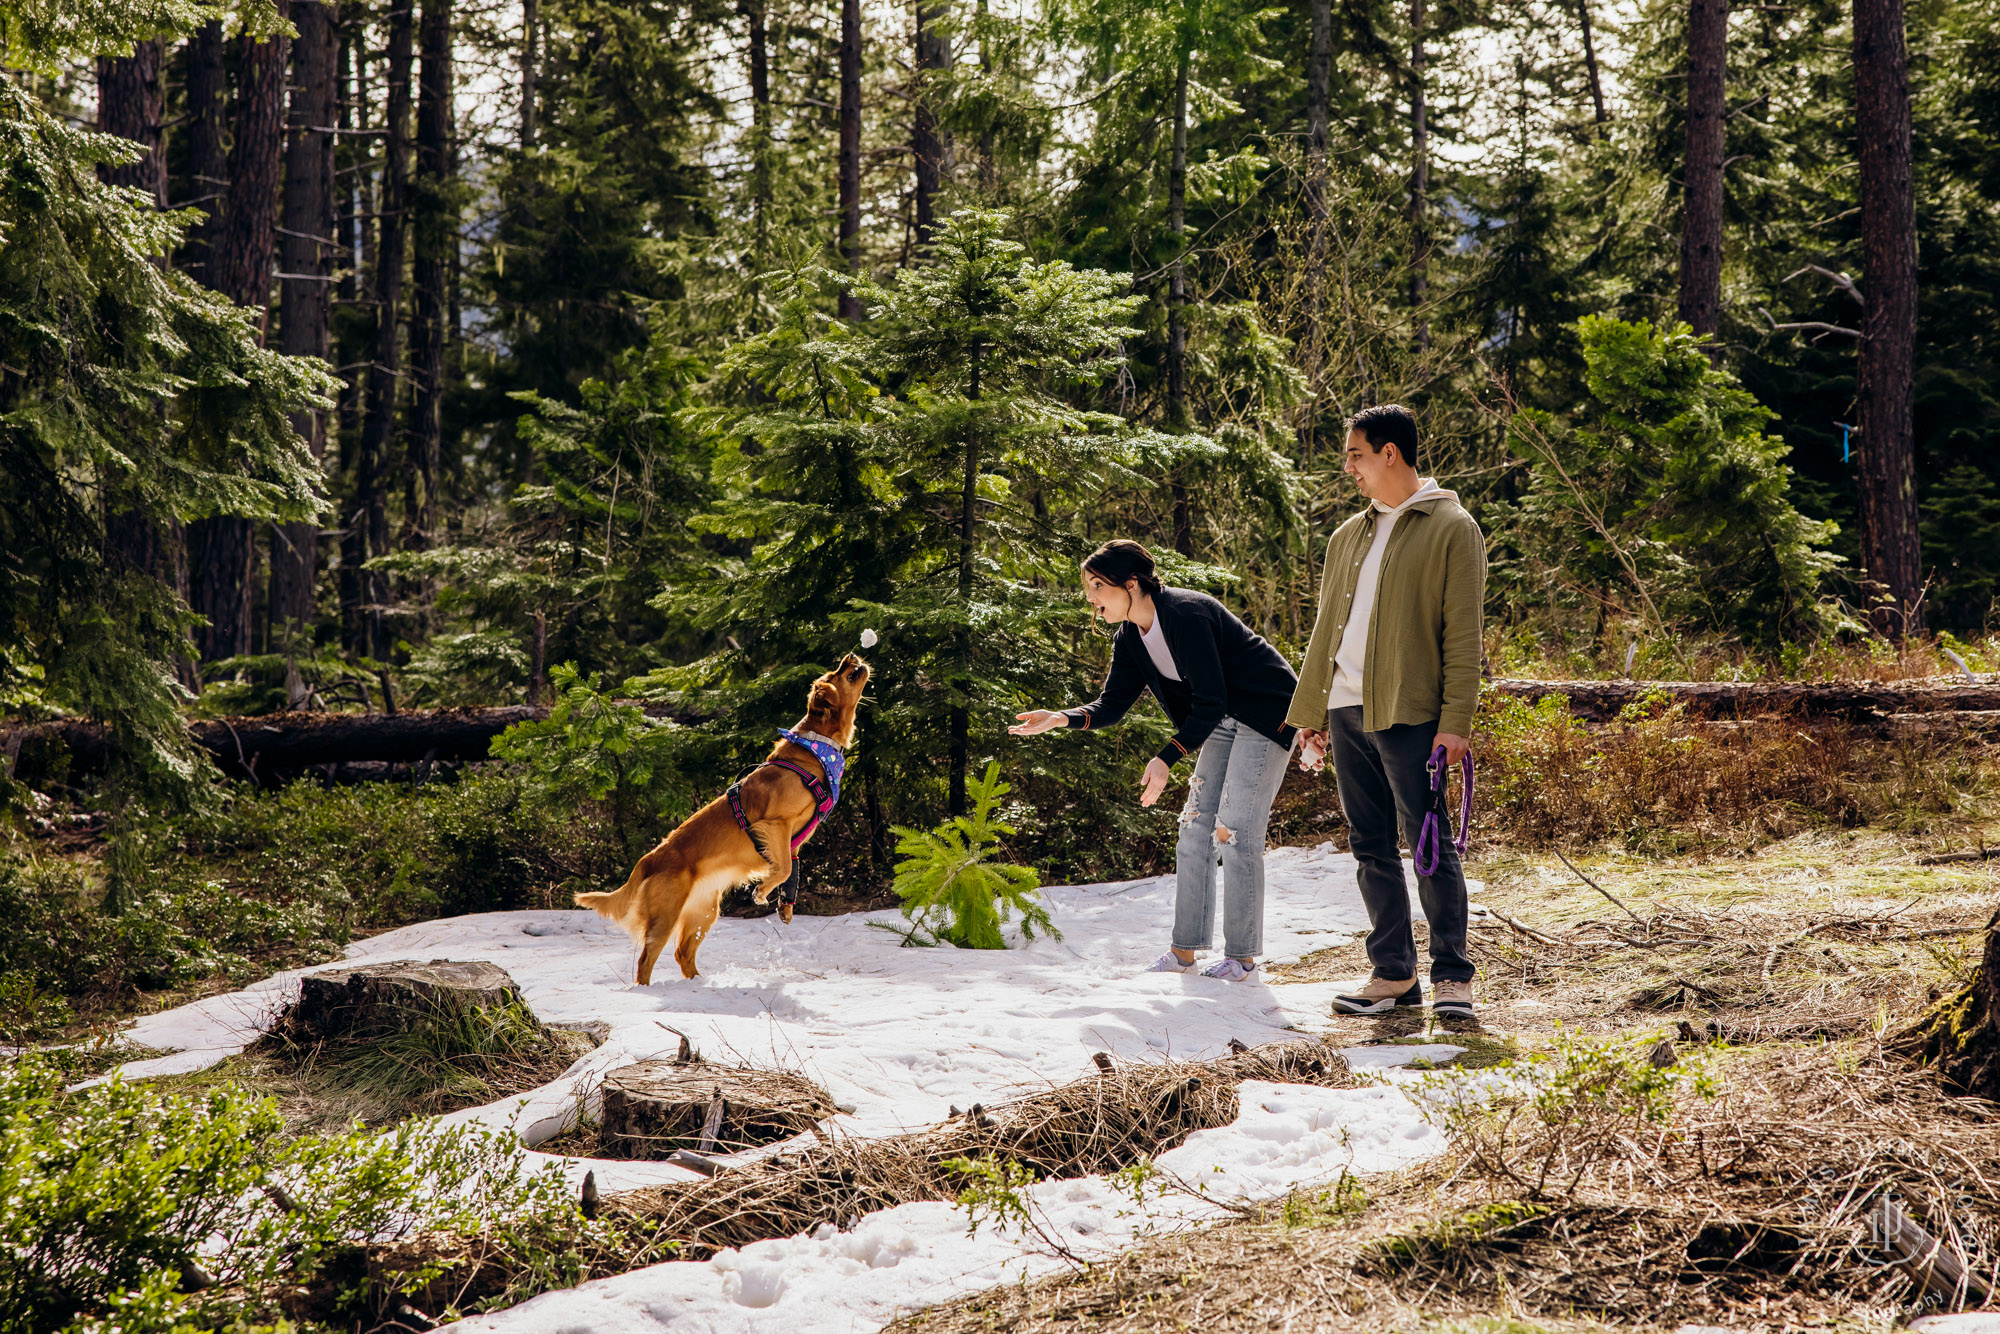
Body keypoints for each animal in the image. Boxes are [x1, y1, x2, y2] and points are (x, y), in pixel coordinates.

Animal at [572, 652, 868, 988]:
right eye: (836, 673)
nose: (851, 656)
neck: (816, 751)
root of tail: (649, 858)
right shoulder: (774, 824)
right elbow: (782, 869)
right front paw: (761, 892)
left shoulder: (791, 843)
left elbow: (791, 872)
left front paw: (785, 908)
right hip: (666, 915)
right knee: (646, 959)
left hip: (704, 911)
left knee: (682, 954)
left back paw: (699, 984)